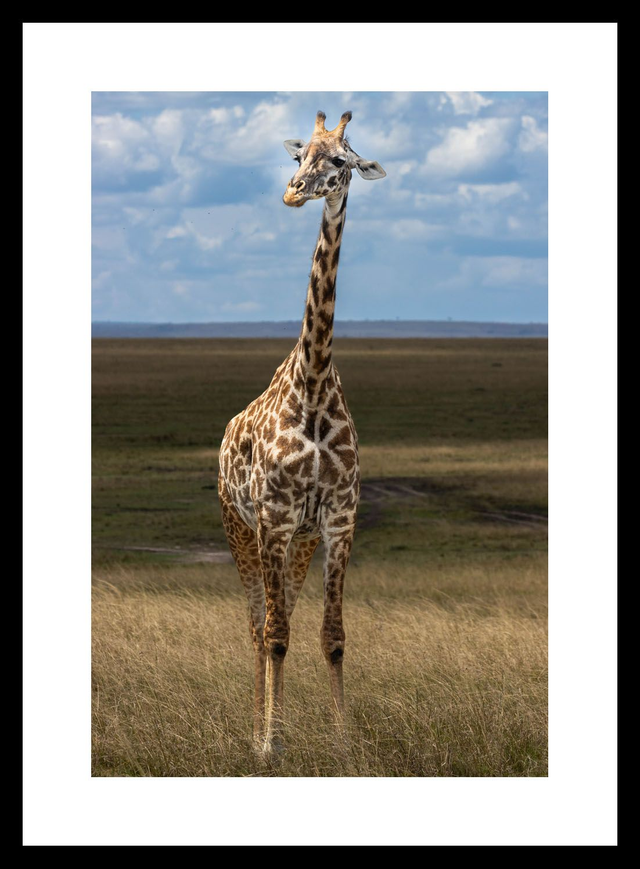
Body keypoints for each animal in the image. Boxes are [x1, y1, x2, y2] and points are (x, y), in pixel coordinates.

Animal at [218, 110, 386, 755]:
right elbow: (275, 635)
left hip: (298, 542)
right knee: (257, 624)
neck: (312, 384)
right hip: (239, 527)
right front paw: (272, 743)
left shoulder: (336, 521)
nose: (292, 193)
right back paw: (255, 729)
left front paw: (343, 742)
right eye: (298, 157)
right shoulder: (273, 519)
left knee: (279, 612)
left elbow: (331, 636)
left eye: (340, 160)